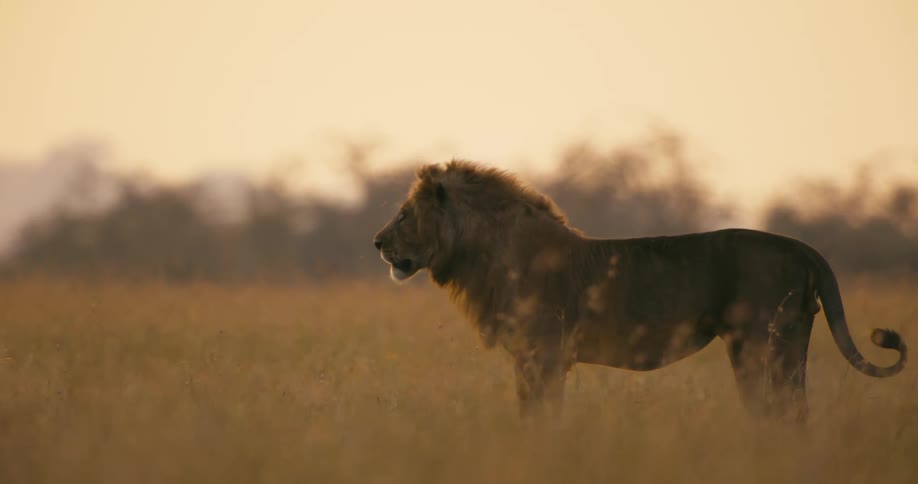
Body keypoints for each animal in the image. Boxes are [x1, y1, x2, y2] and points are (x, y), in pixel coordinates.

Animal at [373, 160, 908, 421]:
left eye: (404, 214)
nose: (376, 242)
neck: (481, 254)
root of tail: (802, 247)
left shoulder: (542, 354)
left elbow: (539, 416)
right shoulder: (538, 356)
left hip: (759, 343)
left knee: (777, 411)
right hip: (788, 344)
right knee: (794, 411)